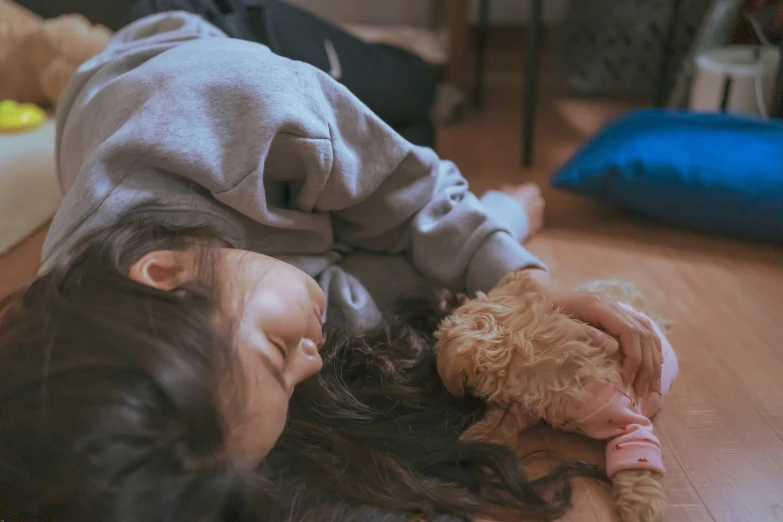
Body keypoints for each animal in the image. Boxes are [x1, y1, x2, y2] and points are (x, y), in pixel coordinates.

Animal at [438, 268, 676, 520]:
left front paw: (643, 508)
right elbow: (506, 420)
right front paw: (481, 436)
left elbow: (636, 457)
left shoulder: (626, 418)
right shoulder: (528, 407)